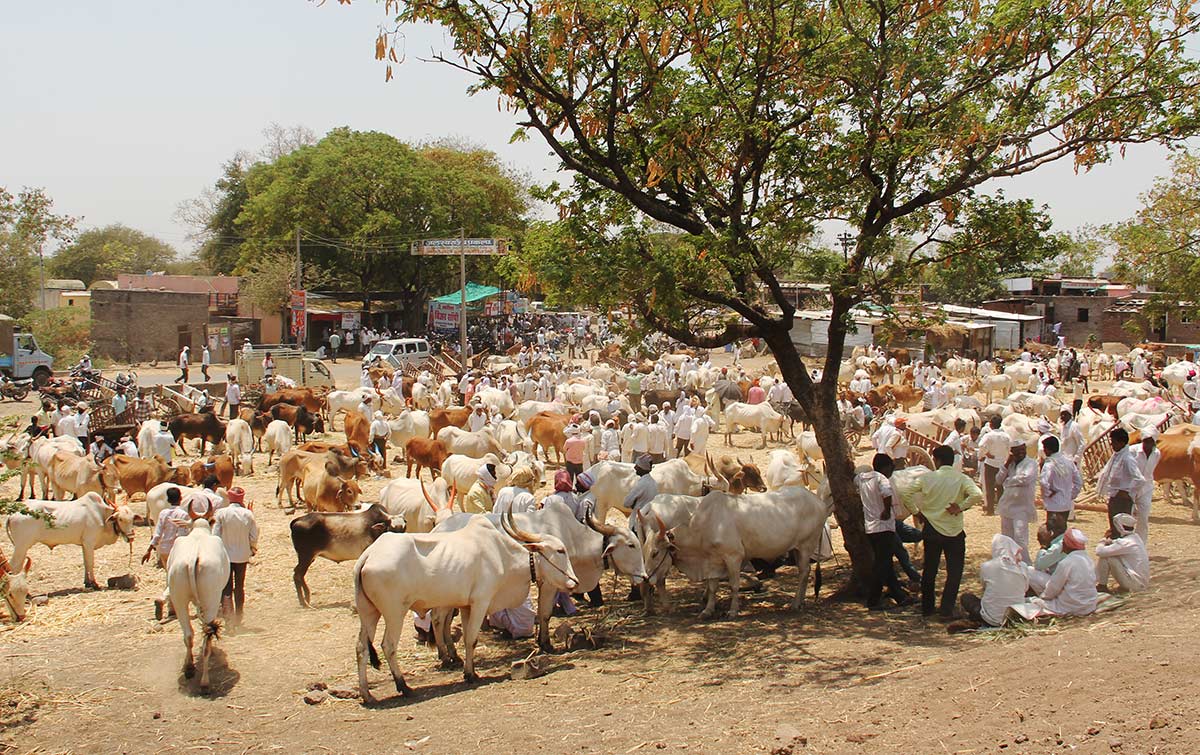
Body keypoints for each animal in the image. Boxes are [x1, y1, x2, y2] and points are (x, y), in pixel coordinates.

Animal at [5, 492, 140, 592]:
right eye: (120, 519)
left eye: (132, 518)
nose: (131, 537)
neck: (102, 515)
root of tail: (12, 514)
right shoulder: (89, 542)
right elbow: (90, 563)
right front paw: (94, 584)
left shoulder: (84, 545)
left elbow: (86, 563)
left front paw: (87, 583)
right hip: (21, 546)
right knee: (14, 566)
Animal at [166, 518, 231, 696]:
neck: (199, 533)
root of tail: (193, 558)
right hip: (211, 599)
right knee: (206, 636)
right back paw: (205, 683)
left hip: (179, 598)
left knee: (189, 634)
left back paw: (189, 668)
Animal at [350, 511, 578, 700]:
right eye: (560, 550)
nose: (574, 582)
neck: (501, 555)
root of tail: (368, 555)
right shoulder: (480, 603)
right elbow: (471, 639)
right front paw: (470, 674)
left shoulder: (467, 607)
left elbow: (468, 639)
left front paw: (467, 670)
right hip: (394, 613)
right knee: (388, 646)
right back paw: (403, 686)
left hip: (369, 613)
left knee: (361, 648)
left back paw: (366, 694)